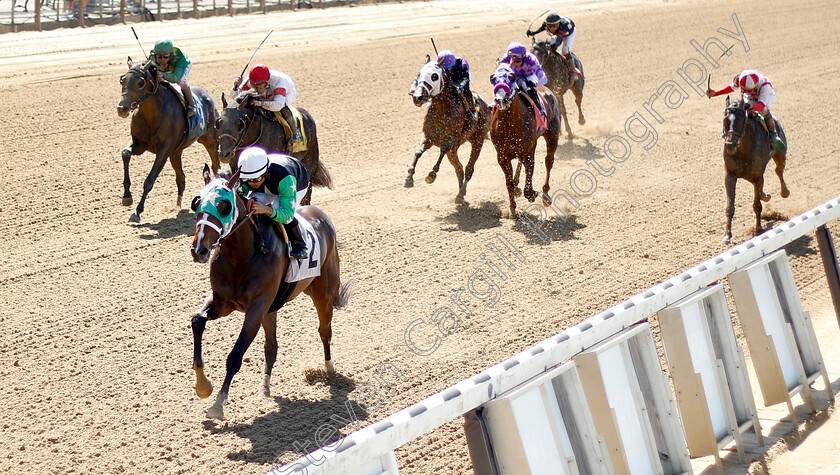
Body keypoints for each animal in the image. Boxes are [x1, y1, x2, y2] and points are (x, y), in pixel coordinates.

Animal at [116, 57, 220, 223]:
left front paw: (137, 211)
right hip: (176, 152)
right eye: (122, 80)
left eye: (140, 82)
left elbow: (149, 180)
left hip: (210, 140)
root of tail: (206, 95)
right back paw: (177, 205)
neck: (153, 115)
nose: (122, 109)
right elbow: (125, 153)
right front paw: (127, 197)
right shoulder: (140, 144)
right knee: (181, 178)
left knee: (215, 165)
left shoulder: (163, 151)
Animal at [189, 165, 350, 418]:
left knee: (325, 331)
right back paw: (264, 388)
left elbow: (235, 356)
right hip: (272, 308)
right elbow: (197, 321)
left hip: (323, 295)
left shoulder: (255, 308)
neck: (241, 256)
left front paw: (218, 403)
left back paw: (329, 369)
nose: (199, 250)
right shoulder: (223, 301)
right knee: (271, 347)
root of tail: (320, 215)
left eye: (224, 206)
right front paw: (203, 386)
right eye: (196, 203)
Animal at [406, 55, 492, 205]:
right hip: (454, 151)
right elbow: (418, 151)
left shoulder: (452, 139)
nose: (417, 97)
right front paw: (409, 177)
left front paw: (431, 175)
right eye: (419, 73)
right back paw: (460, 195)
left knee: (469, 169)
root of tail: (486, 104)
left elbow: (443, 149)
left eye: (434, 76)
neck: (442, 109)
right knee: (459, 168)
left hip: (478, 140)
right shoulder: (428, 137)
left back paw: (461, 193)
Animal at [488, 65, 560, 218]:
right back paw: (517, 186)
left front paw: (531, 194)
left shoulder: (527, 152)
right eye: (493, 79)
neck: (509, 124)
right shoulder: (502, 156)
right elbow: (509, 183)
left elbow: (529, 174)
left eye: (510, 78)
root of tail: (548, 91)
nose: (500, 100)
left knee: (548, 161)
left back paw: (546, 196)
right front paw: (512, 208)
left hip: (552, 135)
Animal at [720, 97, 792, 245]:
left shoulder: (758, 176)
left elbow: (757, 205)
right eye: (725, 119)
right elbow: (730, 207)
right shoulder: (730, 175)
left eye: (741, 119)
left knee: (779, 171)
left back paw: (784, 192)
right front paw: (727, 235)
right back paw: (766, 195)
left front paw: (759, 229)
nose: (730, 145)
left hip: (781, 155)